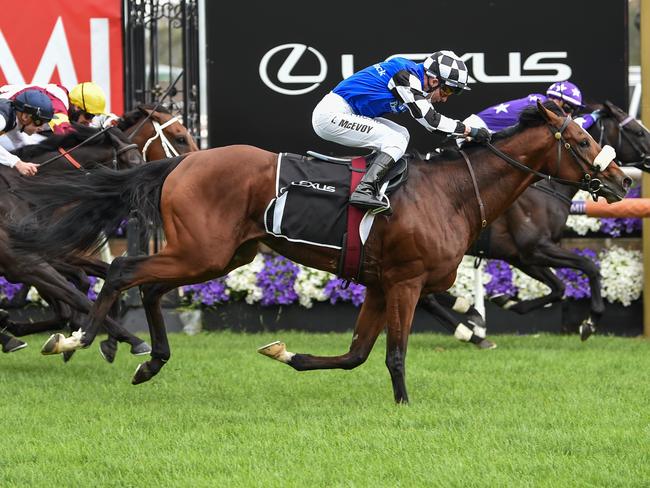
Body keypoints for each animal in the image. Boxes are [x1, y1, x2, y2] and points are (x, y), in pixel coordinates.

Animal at [420, 99, 648, 346]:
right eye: (638, 132)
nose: (625, 181)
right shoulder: (535, 247)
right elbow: (590, 267)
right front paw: (590, 322)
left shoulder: (521, 256)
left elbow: (559, 287)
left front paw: (505, 300)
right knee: (426, 297)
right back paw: (470, 328)